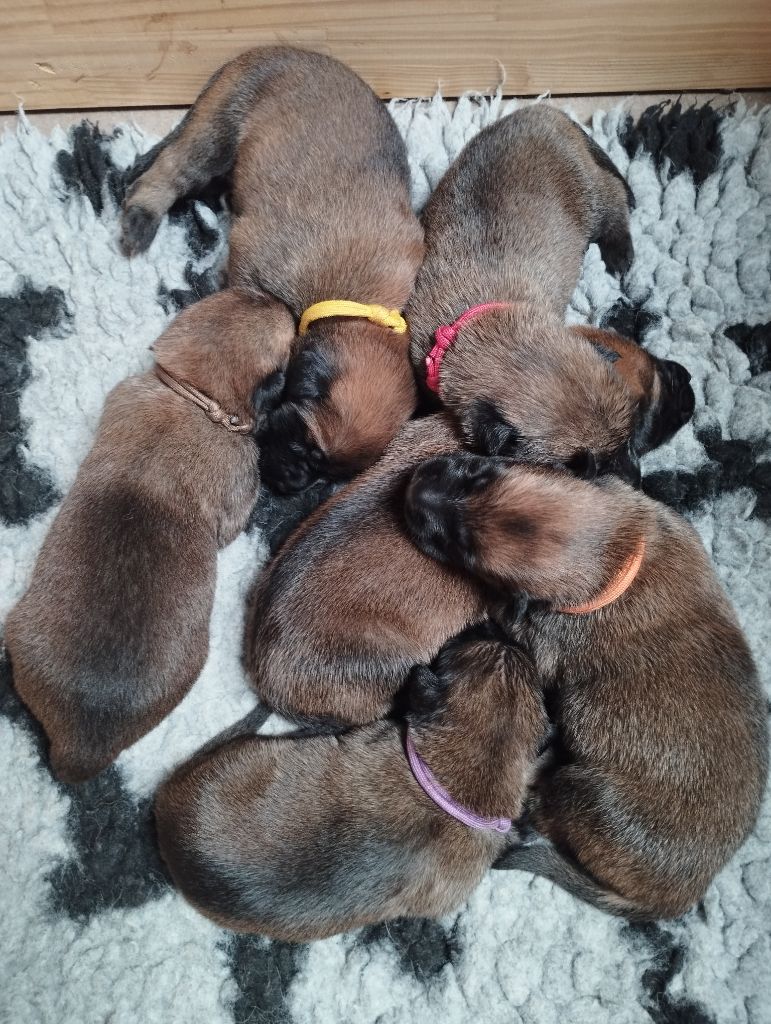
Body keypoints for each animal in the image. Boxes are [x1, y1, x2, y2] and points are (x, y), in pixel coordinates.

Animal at [120, 47, 423, 492]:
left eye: (329, 475)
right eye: (304, 445)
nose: (291, 486)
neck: (351, 302)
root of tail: (269, 51)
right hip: (216, 133)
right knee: (168, 170)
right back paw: (140, 220)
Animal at [403, 452, 768, 919]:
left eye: (463, 547)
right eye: (481, 477)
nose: (414, 487)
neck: (614, 560)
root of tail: (676, 899)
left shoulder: (540, 640)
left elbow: (511, 620)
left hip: (584, 792)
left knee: (548, 813)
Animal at [405, 105, 694, 481]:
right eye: (585, 464)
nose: (635, 478)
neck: (483, 321)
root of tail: (546, 111)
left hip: (592, 193)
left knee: (617, 200)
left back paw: (620, 254)